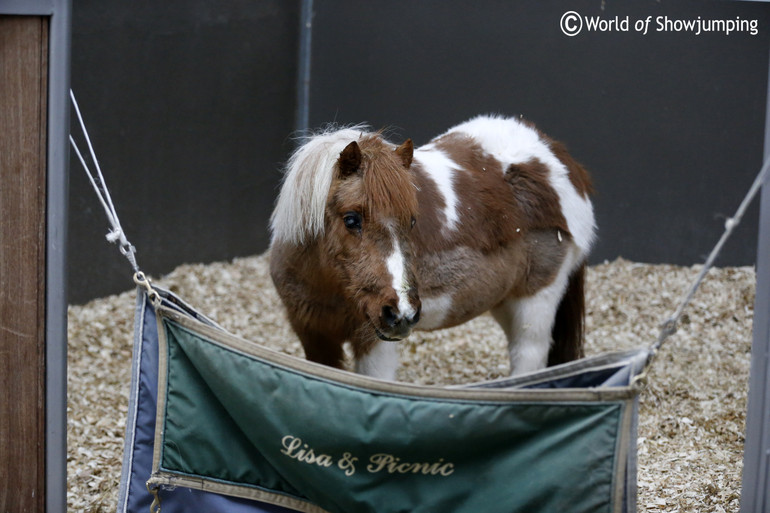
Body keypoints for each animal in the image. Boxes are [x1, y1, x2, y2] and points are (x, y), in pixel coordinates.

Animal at [268, 116, 592, 380]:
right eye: (351, 219)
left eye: (412, 221)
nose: (401, 313)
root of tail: (560, 160)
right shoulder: (314, 336)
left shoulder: (374, 343)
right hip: (504, 301)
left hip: (536, 302)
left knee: (528, 356)